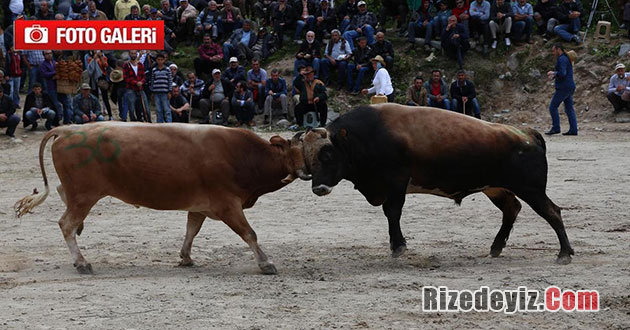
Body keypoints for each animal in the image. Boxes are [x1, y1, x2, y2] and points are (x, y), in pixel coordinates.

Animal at [14, 122, 312, 274]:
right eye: (297, 150)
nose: (308, 171)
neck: (243, 155)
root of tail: (66, 129)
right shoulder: (227, 205)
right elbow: (249, 234)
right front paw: (266, 263)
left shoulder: (201, 206)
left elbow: (191, 230)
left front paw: (186, 258)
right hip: (85, 195)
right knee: (66, 223)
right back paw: (82, 262)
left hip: (81, 193)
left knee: (63, 198)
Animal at [298, 104, 576, 264]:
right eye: (308, 157)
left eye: (328, 155)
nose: (318, 188)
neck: (364, 136)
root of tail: (528, 134)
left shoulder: (396, 182)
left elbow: (392, 212)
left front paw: (398, 247)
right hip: (495, 188)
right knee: (512, 209)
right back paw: (496, 248)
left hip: (531, 190)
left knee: (552, 212)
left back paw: (564, 253)